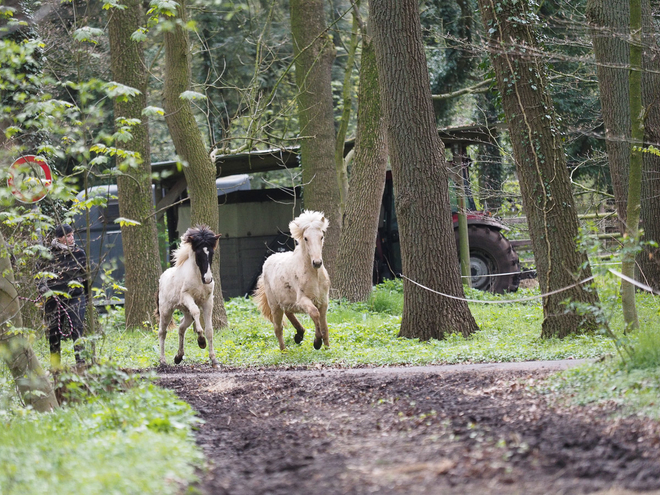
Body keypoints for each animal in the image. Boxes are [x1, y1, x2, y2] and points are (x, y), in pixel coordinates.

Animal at [157, 227, 222, 366]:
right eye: (198, 253)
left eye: (211, 253)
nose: (207, 279)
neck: (198, 278)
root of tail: (162, 278)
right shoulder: (187, 296)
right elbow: (196, 312)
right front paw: (201, 341)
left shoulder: (208, 302)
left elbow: (209, 330)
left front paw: (214, 359)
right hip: (166, 311)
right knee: (162, 332)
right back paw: (163, 360)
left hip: (186, 313)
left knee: (181, 328)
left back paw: (178, 356)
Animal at [255, 211, 332, 350]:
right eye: (306, 238)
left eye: (321, 237)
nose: (317, 262)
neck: (315, 276)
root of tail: (267, 261)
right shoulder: (303, 300)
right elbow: (315, 314)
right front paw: (317, 343)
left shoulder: (323, 301)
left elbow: (325, 328)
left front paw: (327, 348)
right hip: (275, 306)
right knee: (278, 328)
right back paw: (284, 350)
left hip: (286, 301)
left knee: (288, 312)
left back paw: (299, 335)